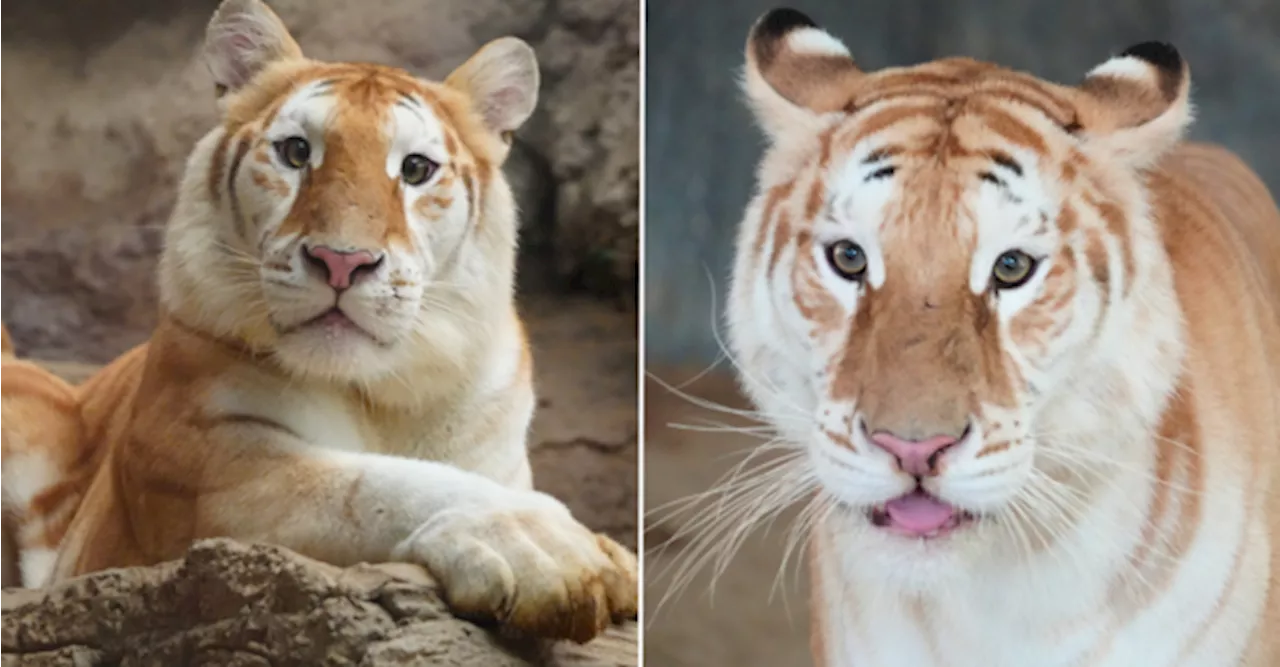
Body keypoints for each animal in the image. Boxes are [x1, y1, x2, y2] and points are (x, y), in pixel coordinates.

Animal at [0, 0, 637, 645]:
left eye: (416, 168)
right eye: (297, 153)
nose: (342, 262)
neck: (385, 393)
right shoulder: (208, 464)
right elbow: (374, 485)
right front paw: (547, 548)